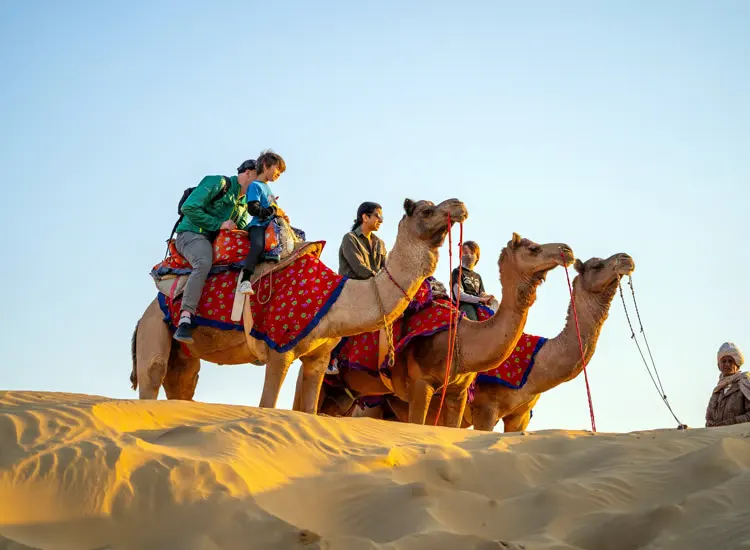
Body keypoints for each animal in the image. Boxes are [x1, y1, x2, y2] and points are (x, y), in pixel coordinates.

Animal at [130, 198, 468, 414]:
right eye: (426, 210)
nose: (459, 205)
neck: (336, 300)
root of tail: (142, 316)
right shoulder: (279, 348)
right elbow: (267, 405)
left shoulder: (319, 359)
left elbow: (308, 411)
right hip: (154, 329)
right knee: (151, 377)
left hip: (183, 356)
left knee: (182, 386)